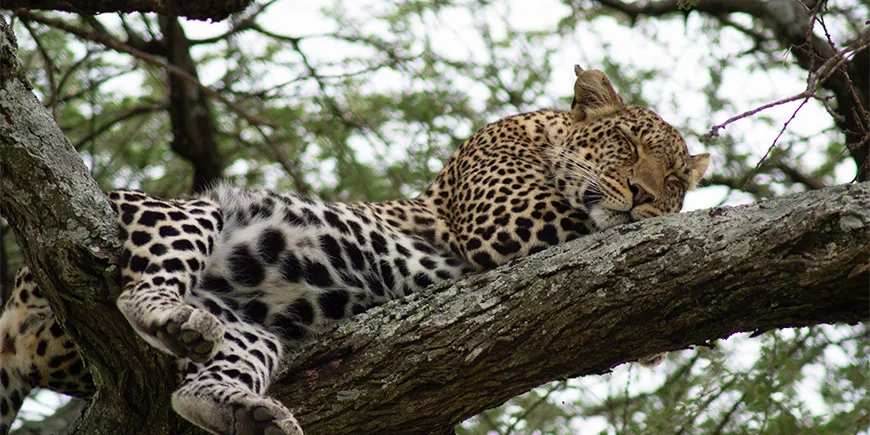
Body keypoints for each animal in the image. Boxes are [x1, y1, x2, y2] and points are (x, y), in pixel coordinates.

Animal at [0, 66, 709, 435]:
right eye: (625, 143)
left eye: (677, 179)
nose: (648, 197)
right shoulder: (510, 221)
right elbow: (590, 224)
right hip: (176, 211)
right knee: (142, 285)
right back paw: (164, 310)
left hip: (248, 331)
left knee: (200, 379)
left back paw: (239, 407)